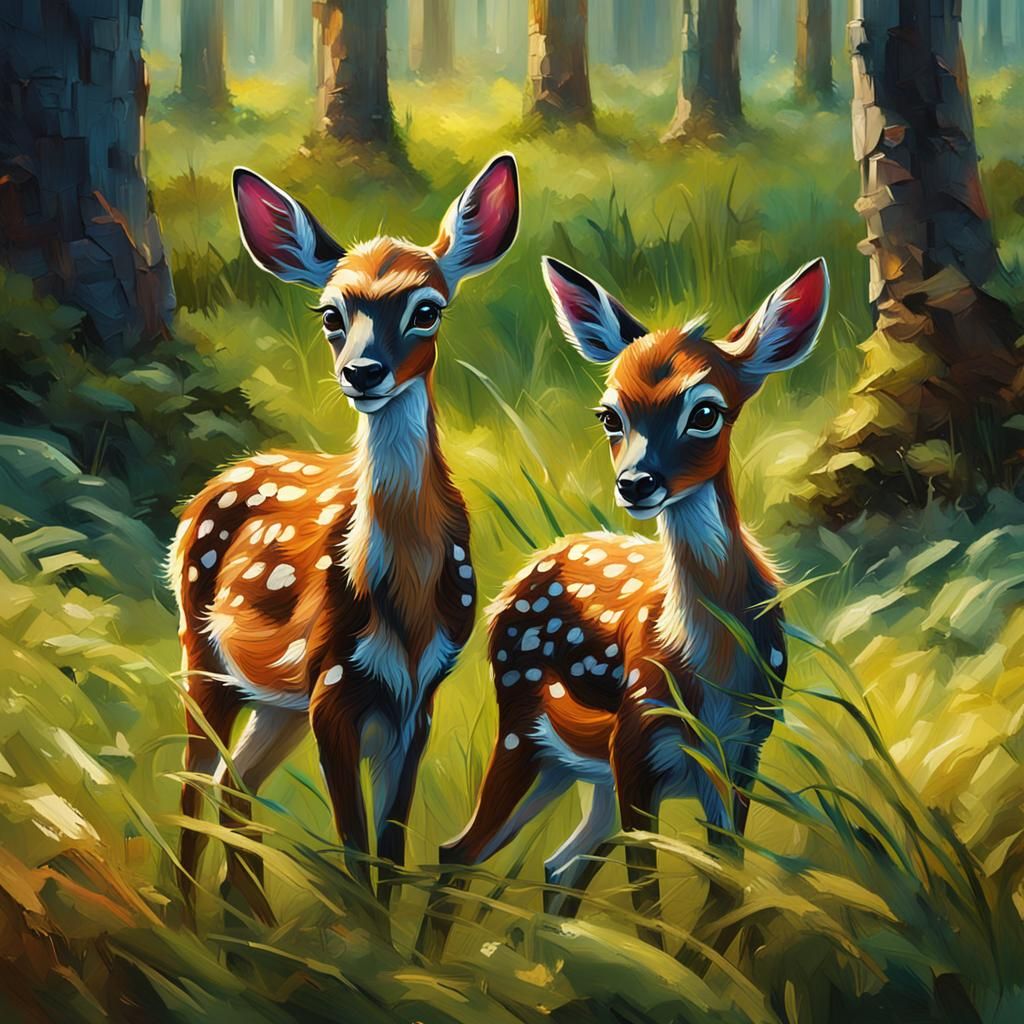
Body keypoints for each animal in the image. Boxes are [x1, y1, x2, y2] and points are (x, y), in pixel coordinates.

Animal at [168, 154, 520, 926]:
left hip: (276, 699)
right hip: (203, 654)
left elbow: (390, 846)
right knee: (193, 784)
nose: (362, 372)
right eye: (331, 314)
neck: (407, 601)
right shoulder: (333, 683)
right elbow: (355, 846)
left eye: (427, 308)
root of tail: (213, 486)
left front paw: (384, 940)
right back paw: (180, 916)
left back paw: (252, 923)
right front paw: (367, 940)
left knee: (235, 784)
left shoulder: (418, 697)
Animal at [418, 256, 828, 958]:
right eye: (610, 415)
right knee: (460, 850)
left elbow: (728, 892)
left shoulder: (742, 752)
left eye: (706, 411)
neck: (711, 667)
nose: (636, 483)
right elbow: (650, 909)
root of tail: (516, 580)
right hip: (526, 727)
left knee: (558, 863)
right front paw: (665, 969)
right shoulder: (640, 745)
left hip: (585, 768)